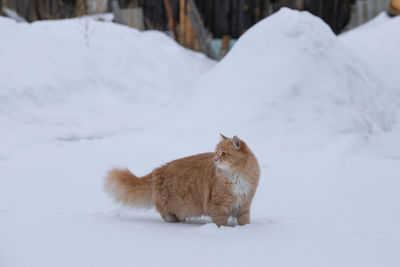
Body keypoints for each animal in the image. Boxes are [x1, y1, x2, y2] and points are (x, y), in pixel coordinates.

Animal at [103, 135, 260, 227]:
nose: (215, 159)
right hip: (175, 204)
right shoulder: (219, 205)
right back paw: (173, 220)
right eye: (216, 153)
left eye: (224, 154)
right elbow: (220, 223)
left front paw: (245, 229)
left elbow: (244, 221)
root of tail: (158, 170)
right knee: (163, 211)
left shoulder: (245, 204)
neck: (237, 176)